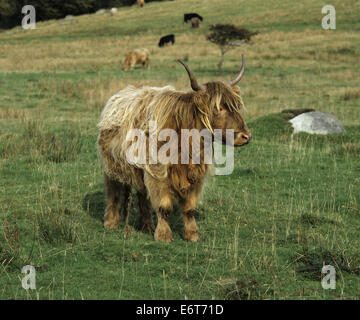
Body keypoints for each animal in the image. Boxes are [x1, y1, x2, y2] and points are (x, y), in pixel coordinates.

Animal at [97, 56, 252, 241]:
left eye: (236, 107)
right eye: (218, 108)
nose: (246, 136)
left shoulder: (195, 175)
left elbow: (189, 207)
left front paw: (192, 234)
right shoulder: (158, 173)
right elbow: (164, 206)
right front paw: (163, 235)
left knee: (142, 195)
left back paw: (147, 225)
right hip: (111, 166)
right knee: (113, 194)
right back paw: (111, 223)